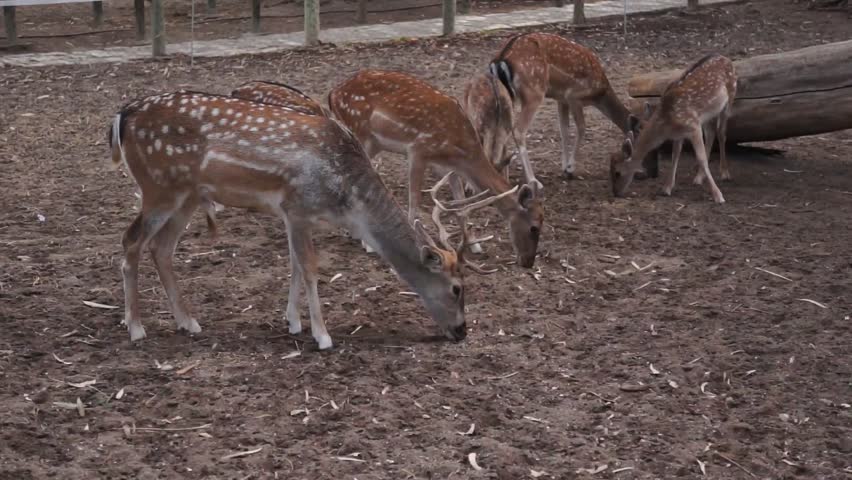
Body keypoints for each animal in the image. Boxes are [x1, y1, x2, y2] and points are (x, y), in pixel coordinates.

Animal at [103, 91, 510, 348]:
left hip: (187, 195)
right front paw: (322, 334)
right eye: (457, 289)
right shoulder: (298, 206)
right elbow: (311, 267)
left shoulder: (291, 215)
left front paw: (294, 321)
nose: (462, 331)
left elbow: (295, 265)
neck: (346, 201)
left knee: (161, 248)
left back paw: (187, 321)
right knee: (131, 241)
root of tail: (121, 117)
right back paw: (135, 327)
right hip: (160, 187)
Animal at [330, 68, 544, 270]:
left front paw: (475, 244)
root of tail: (333, 94)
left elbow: (460, 203)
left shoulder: (446, 167)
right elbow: (414, 205)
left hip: (374, 143)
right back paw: (366, 243)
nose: (528, 262)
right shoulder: (418, 150)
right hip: (359, 131)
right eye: (533, 228)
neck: (461, 150)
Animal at [486, 32, 644, 187]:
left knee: (502, 130)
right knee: (518, 130)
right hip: (534, 92)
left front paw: (564, 167)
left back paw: (504, 178)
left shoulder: (561, 99)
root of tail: (500, 59)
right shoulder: (573, 95)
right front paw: (570, 169)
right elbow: (581, 128)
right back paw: (533, 181)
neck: (599, 94)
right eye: (639, 134)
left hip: (507, 96)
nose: (642, 172)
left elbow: (564, 129)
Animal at [608, 54, 736, 204]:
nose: (615, 193)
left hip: (730, 97)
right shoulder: (680, 133)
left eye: (617, 172)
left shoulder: (693, 125)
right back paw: (699, 177)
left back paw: (725, 173)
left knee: (721, 133)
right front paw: (666, 188)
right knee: (711, 133)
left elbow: (701, 158)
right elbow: (676, 155)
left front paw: (718, 196)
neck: (666, 126)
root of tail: (725, 58)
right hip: (708, 113)